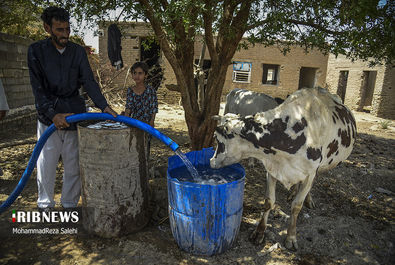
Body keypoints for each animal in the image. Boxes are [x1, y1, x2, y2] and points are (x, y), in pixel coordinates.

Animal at [212, 87, 358, 250]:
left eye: (217, 138)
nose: (211, 161)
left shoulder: (310, 173)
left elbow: (296, 206)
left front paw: (291, 237)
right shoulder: (272, 168)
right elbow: (269, 201)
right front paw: (259, 232)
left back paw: (308, 199)